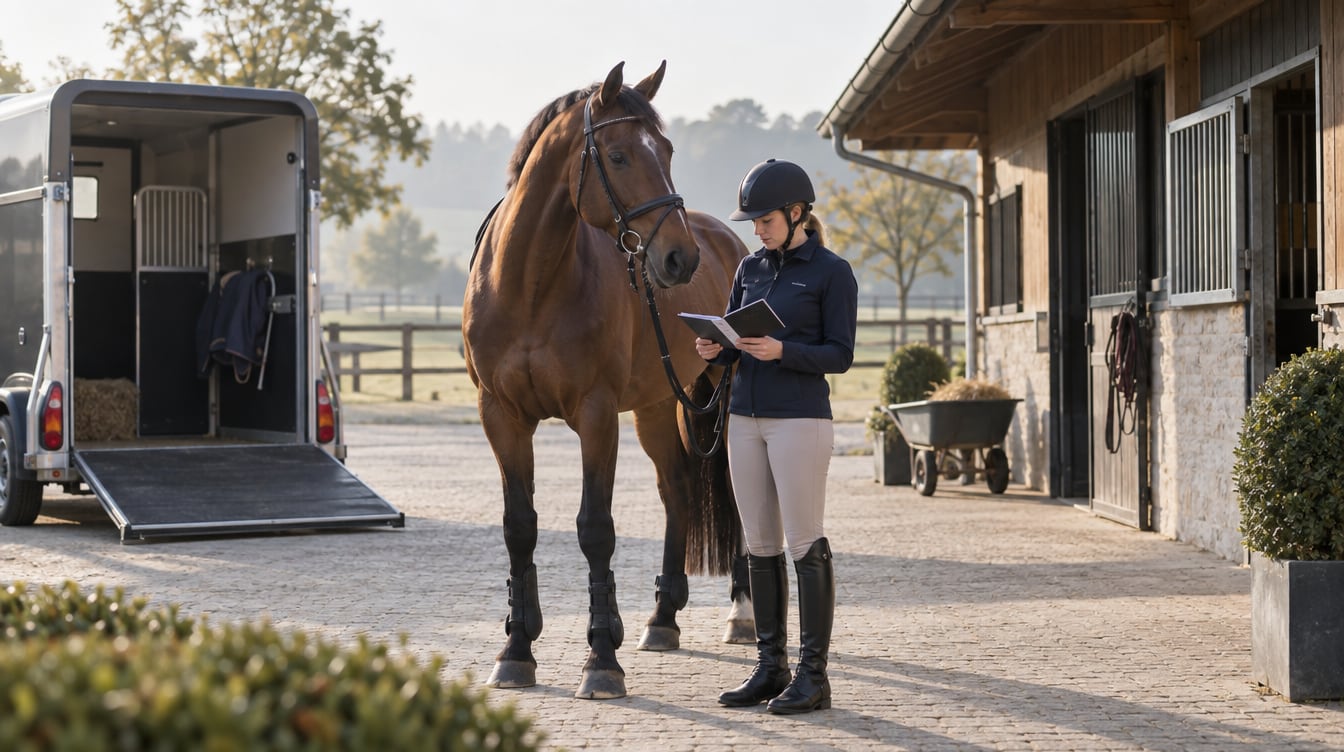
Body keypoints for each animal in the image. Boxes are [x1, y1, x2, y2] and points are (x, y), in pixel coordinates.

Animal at [462, 61, 753, 700]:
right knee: (678, 491)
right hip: (654, 409)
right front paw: (516, 649)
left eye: (666, 150)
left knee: (737, 494)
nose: (679, 259)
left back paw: (742, 613)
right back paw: (662, 618)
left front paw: (601, 659)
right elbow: (520, 527)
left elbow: (595, 529)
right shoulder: (502, 416)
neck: (531, 285)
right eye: (618, 156)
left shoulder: (595, 416)